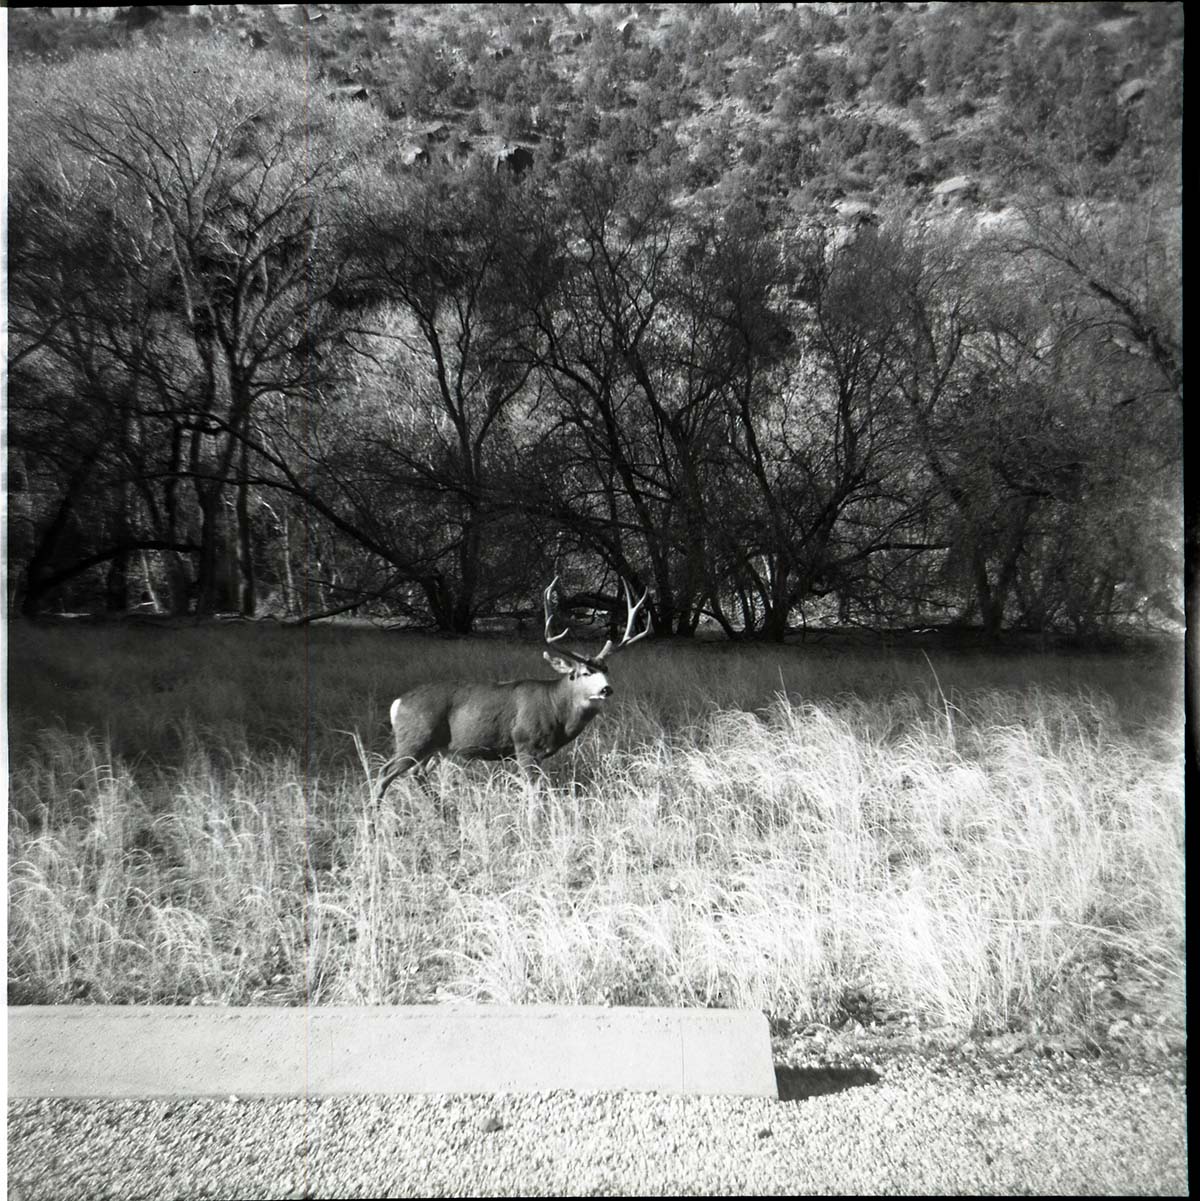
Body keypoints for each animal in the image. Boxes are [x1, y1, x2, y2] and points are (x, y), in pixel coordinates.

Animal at [375, 577, 650, 801]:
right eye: (583, 673)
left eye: (607, 670)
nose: (606, 690)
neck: (557, 709)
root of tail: (397, 703)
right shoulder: (524, 744)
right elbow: (534, 792)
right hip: (415, 738)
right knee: (385, 773)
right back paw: (375, 820)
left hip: (436, 747)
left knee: (417, 773)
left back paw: (442, 811)